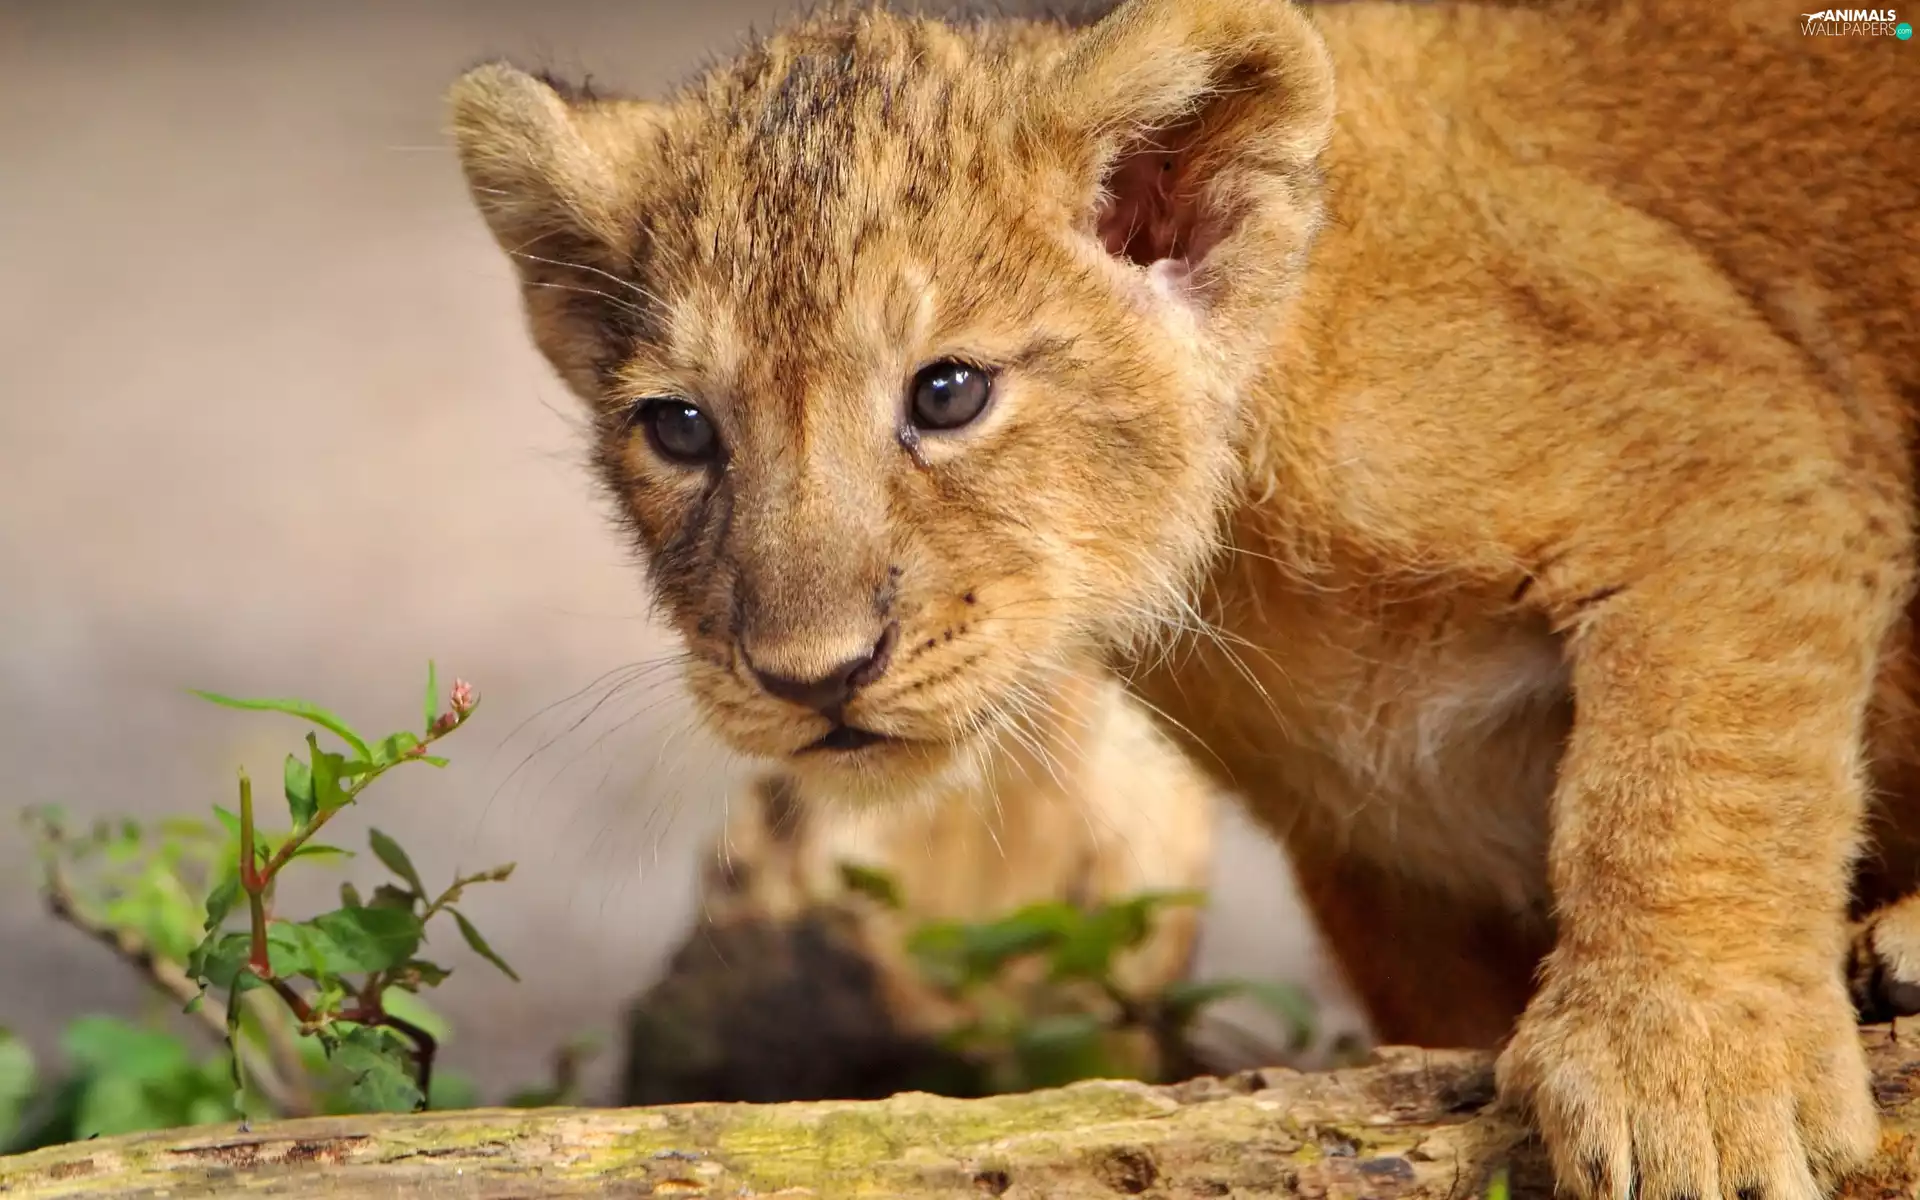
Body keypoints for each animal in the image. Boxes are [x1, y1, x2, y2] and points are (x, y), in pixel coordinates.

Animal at [445, 0, 1920, 1196]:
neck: (1242, 552)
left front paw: (1688, 1086)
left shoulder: (1736, 434)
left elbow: (1689, 771)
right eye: (681, 429)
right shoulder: (1384, 856)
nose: (811, 674)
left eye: (948, 392)